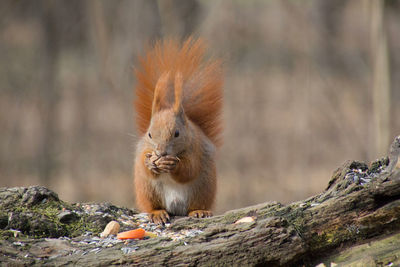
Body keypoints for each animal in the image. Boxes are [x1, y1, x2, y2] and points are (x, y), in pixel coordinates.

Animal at [134, 37, 222, 224]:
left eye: (177, 134)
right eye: (149, 134)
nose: (160, 153)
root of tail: (175, 208)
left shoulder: (196, 149)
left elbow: (189, 169)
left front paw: (173, 164)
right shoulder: (144, 148)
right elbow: (144, 164)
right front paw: (150, 162)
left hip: (203, 189)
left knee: (196, 203)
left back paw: (199, 212)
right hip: (147, 190)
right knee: (152, 205)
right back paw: (157, 213)